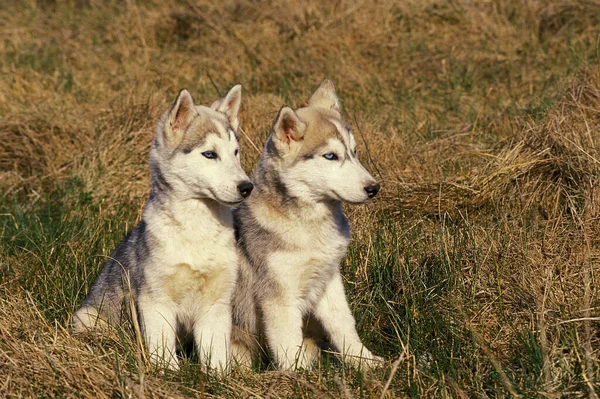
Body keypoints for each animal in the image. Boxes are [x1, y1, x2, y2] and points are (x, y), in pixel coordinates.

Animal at [73, 86, 253, 374]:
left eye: (236, 152)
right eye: (210, 154)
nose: (247, 187)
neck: (196, 232)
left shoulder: (216, 304)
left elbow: (217, 353)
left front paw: (219, 377)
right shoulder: (155, 299)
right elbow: (162, 348)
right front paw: (167, 374)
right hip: (89, 317)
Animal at [232, 79, 382, 370]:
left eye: (354, 152)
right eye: (331, 156)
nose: (373, 188)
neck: (312, 228)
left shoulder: (328, 279)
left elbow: (344, 324)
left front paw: (363, 361)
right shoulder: (278, 296)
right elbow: (287, 340)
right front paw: (299, 374)